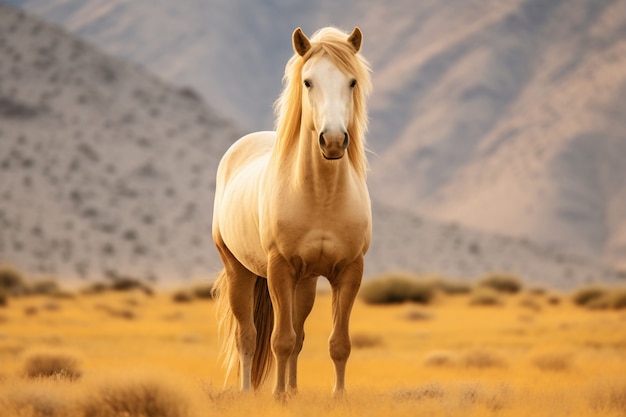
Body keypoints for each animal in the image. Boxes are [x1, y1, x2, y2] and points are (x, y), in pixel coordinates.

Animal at [212, 26, 372, 396]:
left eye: (352, 82)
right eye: (308, 82)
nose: (332, 141)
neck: (322, 197)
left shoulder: (350, 271)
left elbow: (336, 343)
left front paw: (336, 396)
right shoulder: (279, 269)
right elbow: (279, 340)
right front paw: (277, 397)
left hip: (307, 282)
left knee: (297, 336)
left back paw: (293, 390)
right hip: (239, 271)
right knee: (248, 336)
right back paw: (249, 392)